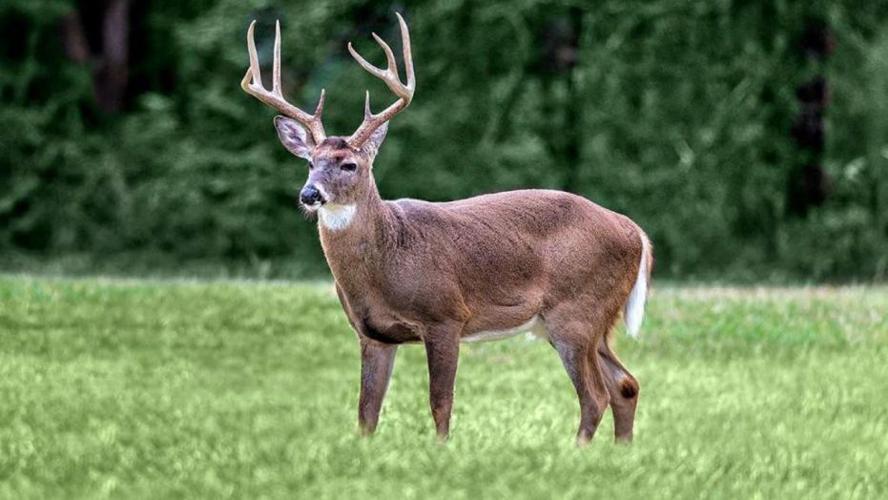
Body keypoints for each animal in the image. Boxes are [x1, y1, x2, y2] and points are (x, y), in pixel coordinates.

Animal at [241, 13, 652, 445]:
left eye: (349, 164)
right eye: (309, 162)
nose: (309, 194)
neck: (387, 259)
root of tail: (634, 230)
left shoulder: (446, 316)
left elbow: (441, 401)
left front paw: (441, 449)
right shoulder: (372, 333)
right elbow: (366, 412)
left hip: (575, 311)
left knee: (596, 395)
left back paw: (578, 451)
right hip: (589, 321)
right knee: (626, 384)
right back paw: (620, 450)